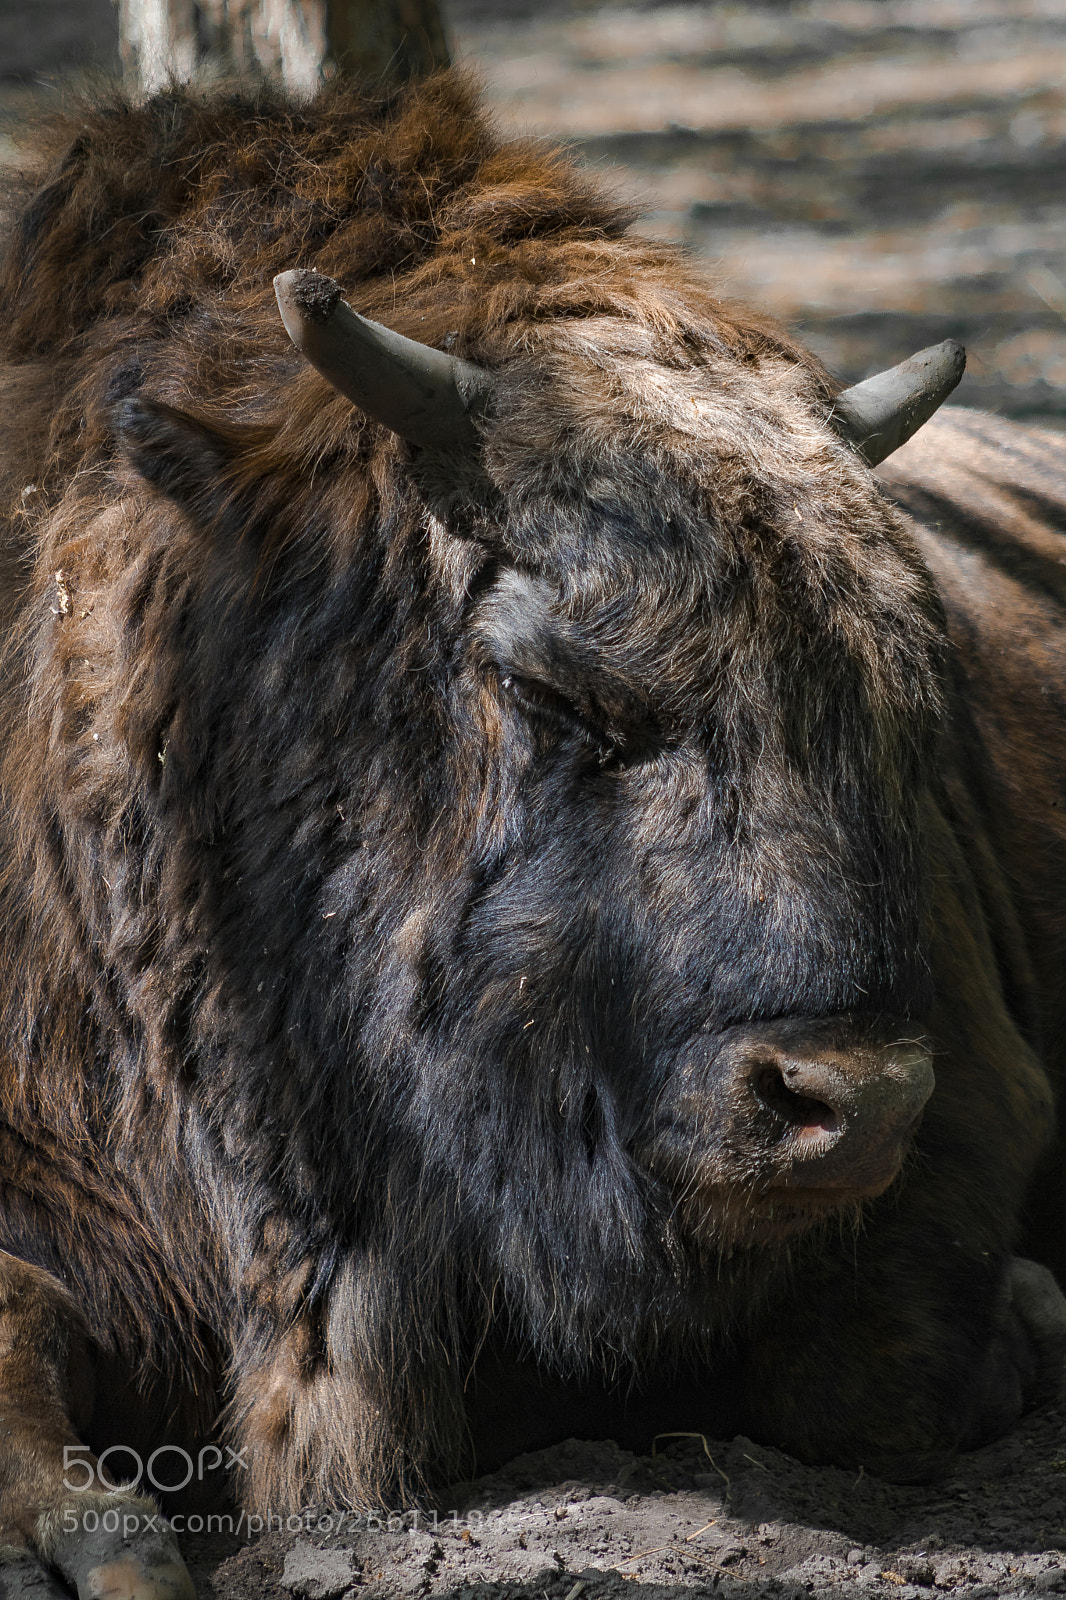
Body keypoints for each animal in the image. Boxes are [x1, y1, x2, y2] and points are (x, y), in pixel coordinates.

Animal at [0, 72, 1065, 1600]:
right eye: (552, 686)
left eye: (905, 694)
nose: (848, 1101)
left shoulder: (972, 1101)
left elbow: (856, 1376)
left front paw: (1034, 1311)